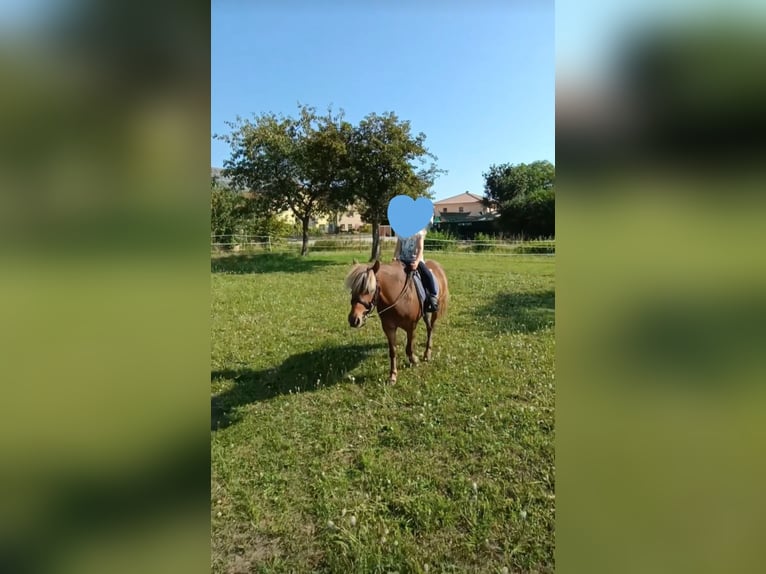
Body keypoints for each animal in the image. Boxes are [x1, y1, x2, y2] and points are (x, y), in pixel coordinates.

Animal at [344, 260, 448, 388]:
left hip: (435, 311)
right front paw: (393, 376)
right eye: (352, 289)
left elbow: (409, 348)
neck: (397, 297)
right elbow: (392, 352)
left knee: (430, 329)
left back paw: (427, 354)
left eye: (370, 290)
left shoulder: (411, 326)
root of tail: (437, 265)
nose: (354, 319)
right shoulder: (389, 328)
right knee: (429, 327)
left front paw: (414, 360)